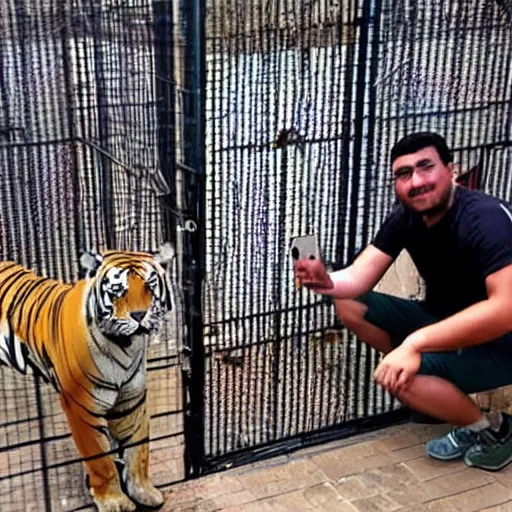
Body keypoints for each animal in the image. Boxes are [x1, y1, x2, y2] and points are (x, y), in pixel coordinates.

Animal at [0, 246, 176, 510]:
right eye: (117, 289)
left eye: (150, 285)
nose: (139, 315)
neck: (125, 346)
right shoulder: (82, 406)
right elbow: (101, 460)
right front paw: (115, 501)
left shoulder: (131, 402)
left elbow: (138, 451)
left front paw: (144, 491)